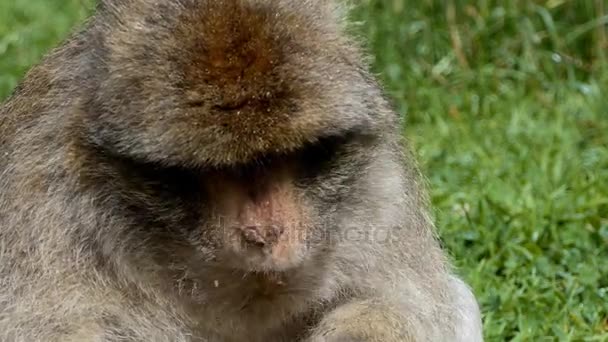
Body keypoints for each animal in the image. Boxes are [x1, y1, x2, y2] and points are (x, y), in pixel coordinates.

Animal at [0, 0, 484, 340]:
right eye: (215, 170)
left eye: (291, 156)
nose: (264, 233)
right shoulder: (44, 192)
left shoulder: (381, 185)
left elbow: (407, 302)